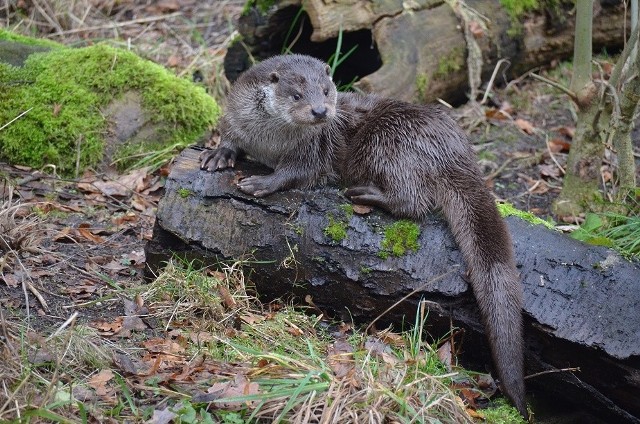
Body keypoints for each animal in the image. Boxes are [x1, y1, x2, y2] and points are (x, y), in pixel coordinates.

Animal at [199, 53, 524, 418]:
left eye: (327, 91)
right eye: (296, 95)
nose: (320, 112)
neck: (269, 141)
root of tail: (453, 149)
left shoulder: (312, 150)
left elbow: (295, 172)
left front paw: (263, 182)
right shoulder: (235, 115)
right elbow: (228, 134)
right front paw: (219, 153)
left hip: (389, 142)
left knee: (412, 200)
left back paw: (365, 193)